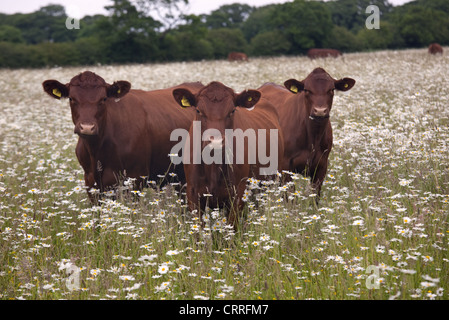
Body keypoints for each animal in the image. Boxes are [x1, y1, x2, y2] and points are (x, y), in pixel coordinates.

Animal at [42, 71, 203, 199]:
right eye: (71, 98)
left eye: (103, 99)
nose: (87, 128)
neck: (97, 150)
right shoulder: (90, 182)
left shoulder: (135, 178)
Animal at [258, 67, 356, 200]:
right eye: (306, 90)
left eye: (331, 89)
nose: (320, 111)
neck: (313, 138)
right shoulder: (285, 166)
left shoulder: (321, 166)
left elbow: (315, 197)